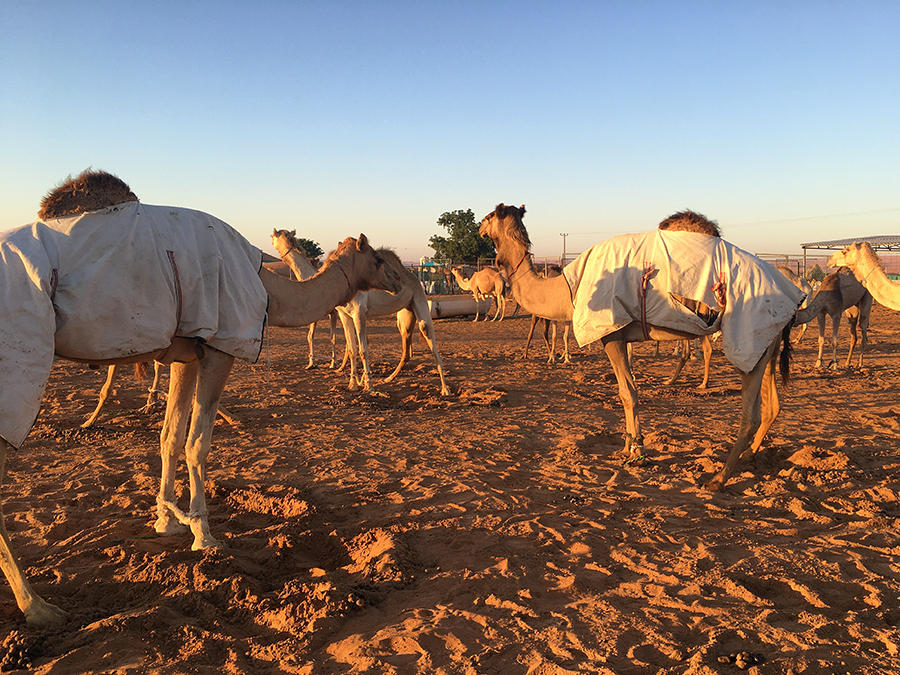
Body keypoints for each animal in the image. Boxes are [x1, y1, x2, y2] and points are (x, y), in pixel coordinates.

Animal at [272, 231, 340, 370]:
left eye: (274, 236)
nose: (271, 239)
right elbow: (313, 336)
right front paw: (312, 363)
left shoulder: (331, 312)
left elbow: (330, 337)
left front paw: (332, 363)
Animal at [334, 248, 454, 396]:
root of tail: (414, 278)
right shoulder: (344, 314)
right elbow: (352, 350)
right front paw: (352, 385)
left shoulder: (359, 312)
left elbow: (363, 350)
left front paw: (369, 386)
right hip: (404, 316)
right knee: (407, 351)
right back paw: (388, 378)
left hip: (420, 301)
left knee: (428, 334)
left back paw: (445, 389)